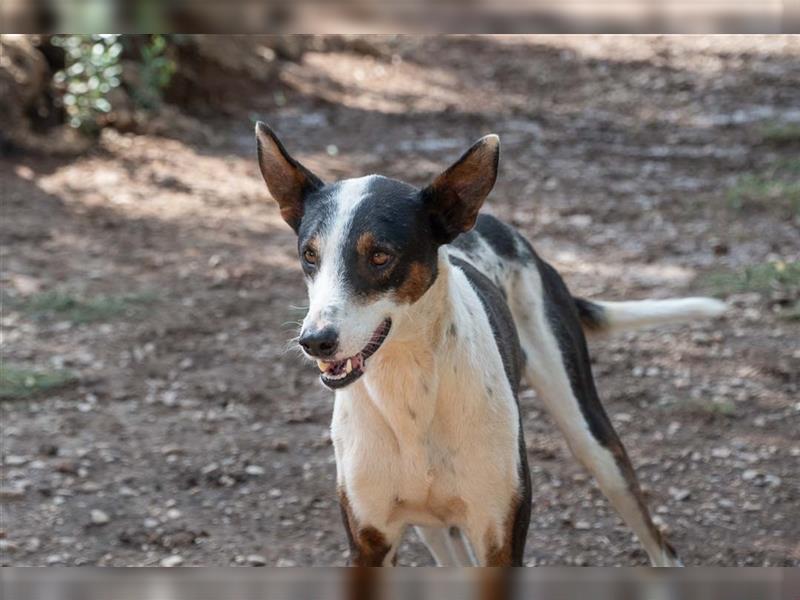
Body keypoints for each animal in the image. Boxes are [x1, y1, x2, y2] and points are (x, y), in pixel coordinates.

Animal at [255, 123, 724, 568]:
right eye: (309, 255)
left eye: (380, 256)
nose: (315, 341)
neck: (410, 388)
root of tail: (498, 225)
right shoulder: (369, 541)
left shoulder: (499, 537)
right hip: (429, 526)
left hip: (593, 438)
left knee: (660, 545)